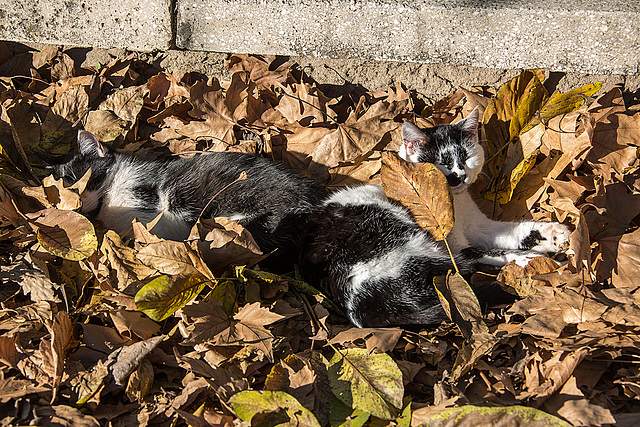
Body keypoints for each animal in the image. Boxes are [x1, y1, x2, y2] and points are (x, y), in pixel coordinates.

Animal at [298, 109, 568, 328]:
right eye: (441, 163)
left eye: (466, 157)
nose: (459, 176)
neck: (456, 204)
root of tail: (360, 309)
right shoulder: (453, 243)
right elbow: (487, 251)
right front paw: (534, 257)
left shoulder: (479, 226)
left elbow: (516, 232)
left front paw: (555, 235)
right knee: (463, 263)